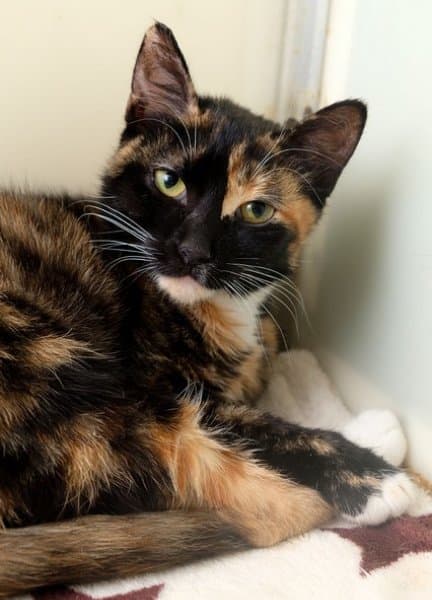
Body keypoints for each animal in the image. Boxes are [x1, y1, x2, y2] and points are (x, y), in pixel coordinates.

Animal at [0, 22, 414, 597]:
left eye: (256, 210)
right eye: (168, 181)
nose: (191, 251)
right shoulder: (155, 382)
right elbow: (249, 423)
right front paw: (376, 478)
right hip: (54, 366)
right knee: (238, 498)